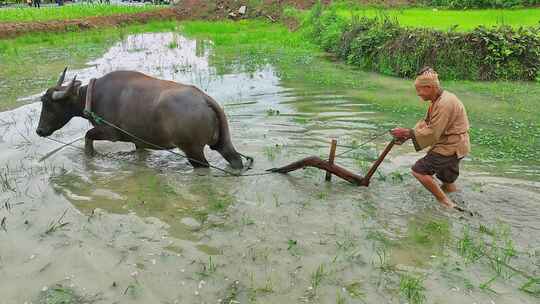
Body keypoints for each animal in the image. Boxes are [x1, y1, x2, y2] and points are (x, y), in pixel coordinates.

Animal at [38, 67, 247, 170]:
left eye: (48, 104)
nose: (39, 130)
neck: (93, 96)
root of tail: (205, 99)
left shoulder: (110, 133)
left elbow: (88, 136)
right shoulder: (139, 141)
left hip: (193, 151)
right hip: (222, 143)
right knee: (235, 159)